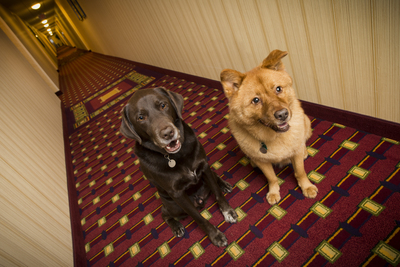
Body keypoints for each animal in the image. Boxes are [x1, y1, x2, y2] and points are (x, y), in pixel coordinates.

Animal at [119, 87, 238, 247]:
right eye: (141, 117)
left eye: (163, 105)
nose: (168, 133)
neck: (178, 156)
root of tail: (200, 199)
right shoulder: (177, 195)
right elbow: (198, 217)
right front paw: (215, 235)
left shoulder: (204, 167)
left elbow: (218, 193)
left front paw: (228, 212)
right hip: (174, 207)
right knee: (164, 213)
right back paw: (176, 227)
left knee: (214, 178)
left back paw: (223, 184)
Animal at [219, 50, 318, 205]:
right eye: (256, 100)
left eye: (278, 89)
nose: (282, 114)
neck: (275, 136)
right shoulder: (263, 162)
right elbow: (271, 178)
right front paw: (273, 192)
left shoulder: (296, 155)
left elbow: (300, 172)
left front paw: (306, 186)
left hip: (306, 124)